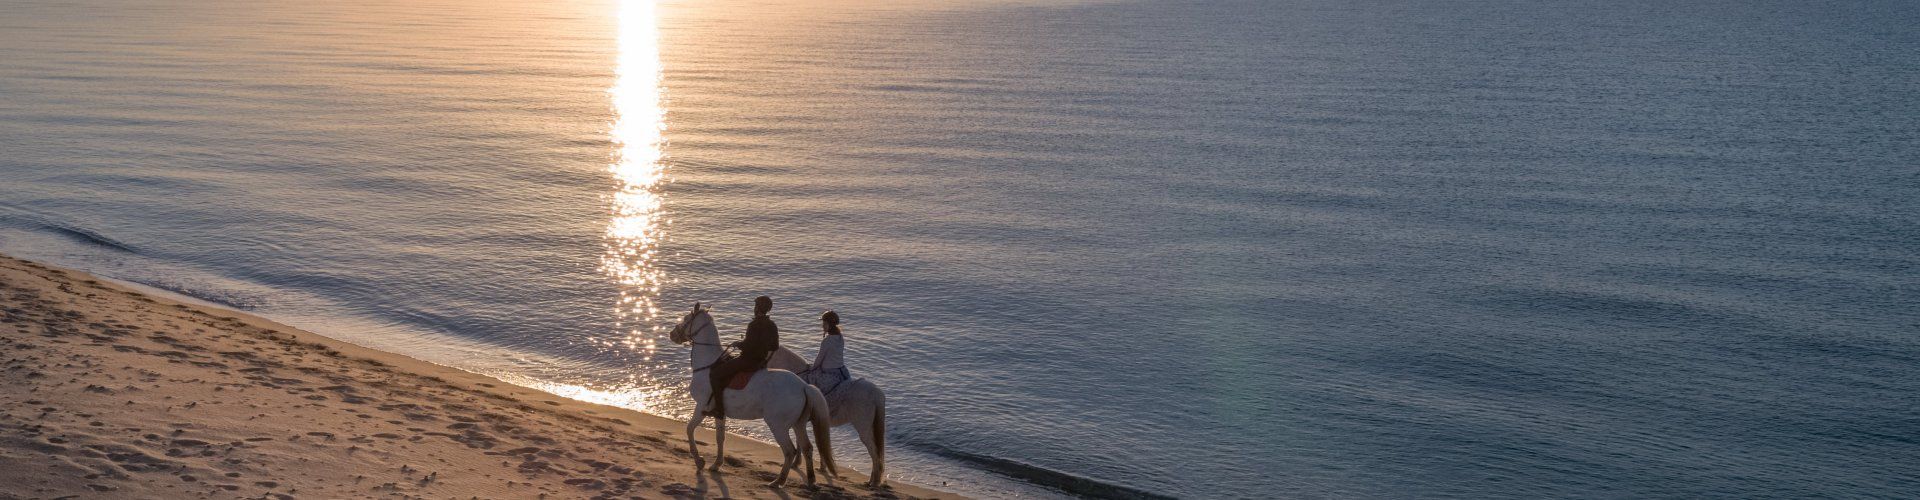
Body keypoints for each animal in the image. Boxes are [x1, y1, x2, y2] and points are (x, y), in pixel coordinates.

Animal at [668, 301, 833, 486]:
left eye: (686, 319)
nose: (672, 334)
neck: (708, 365)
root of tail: (804, 386)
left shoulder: (701, 406)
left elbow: (689, 429)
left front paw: (699, 461)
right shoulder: (719, 412)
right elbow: (720, 437)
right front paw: (716, 464)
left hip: (778, 425)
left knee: (790, 451)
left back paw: (778, 481)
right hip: (798, 424)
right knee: (807, 448)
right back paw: (810, 480)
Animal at [768, 344, 887, 484]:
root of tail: (876, 393)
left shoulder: (799, 420)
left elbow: (801, 442)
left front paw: (797, 463)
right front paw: (820, 467)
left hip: (863, 428)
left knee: (874, 452)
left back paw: (874, 481)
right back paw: (871, 481)